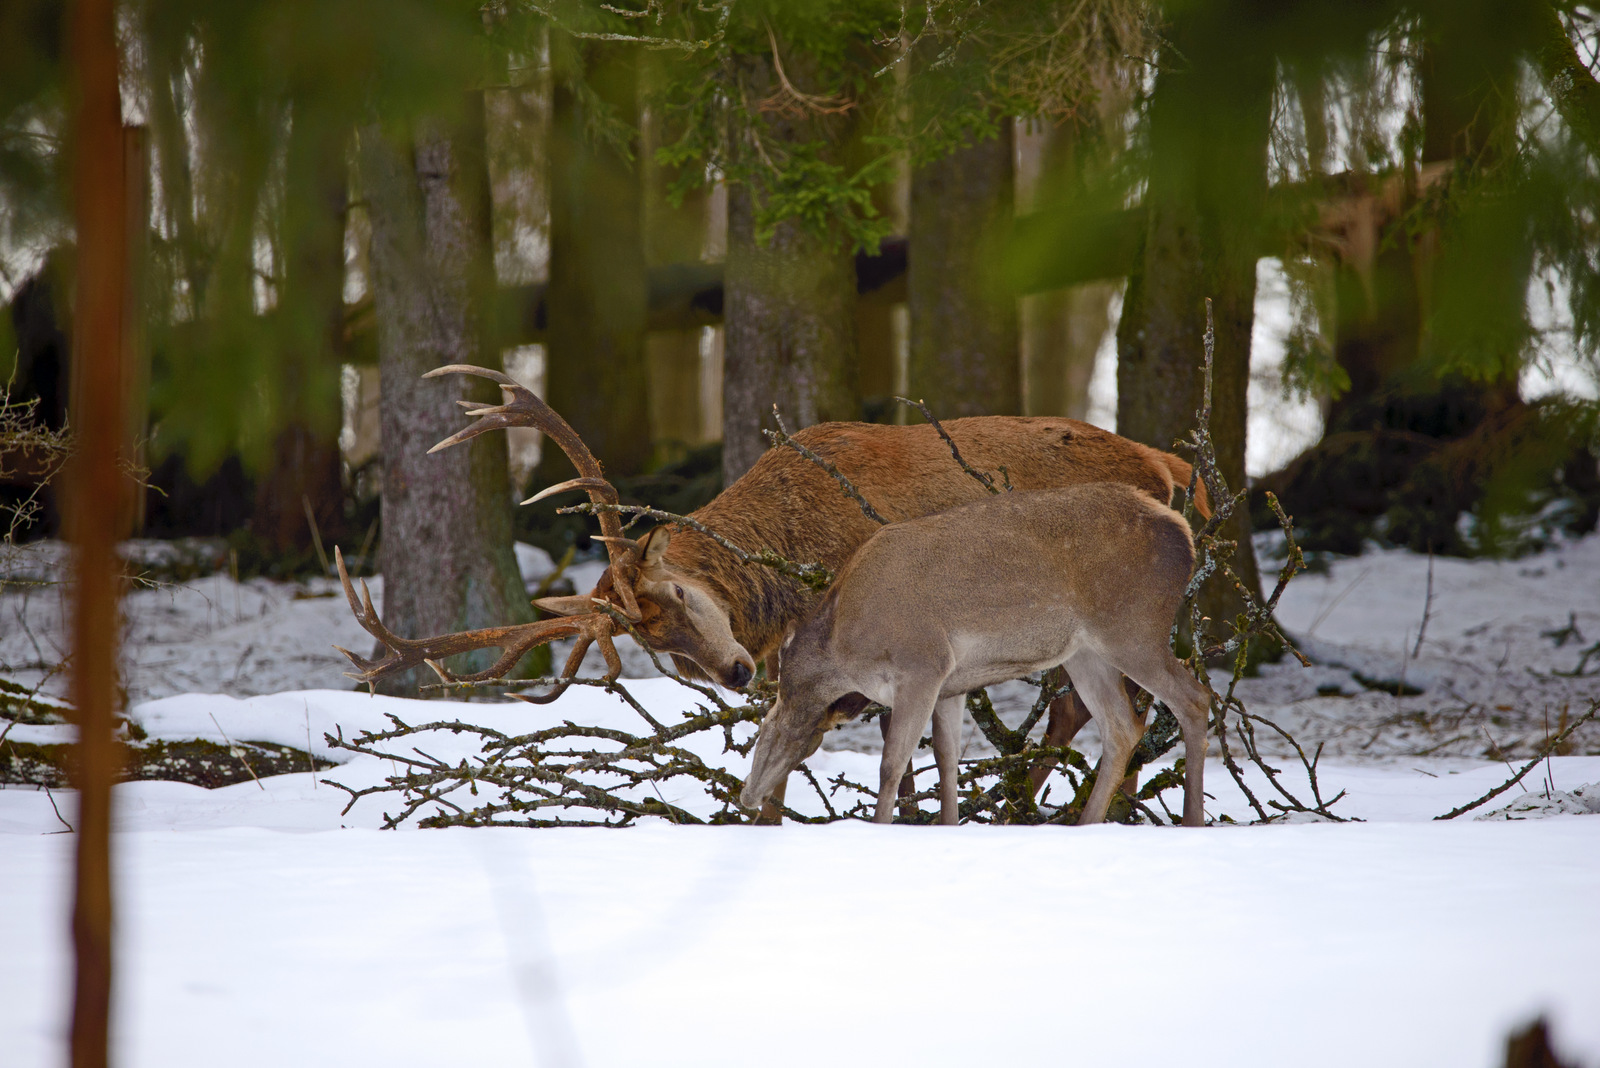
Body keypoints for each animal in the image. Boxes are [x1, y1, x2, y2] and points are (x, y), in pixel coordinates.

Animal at [742, 482, 1203, 824]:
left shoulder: (922, 662)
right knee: (1121, 726)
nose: (748, 796)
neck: (846, 646)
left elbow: (892, 765)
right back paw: (1087, 823)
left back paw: (1192, 822)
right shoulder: (950, 684)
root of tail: (1186, 535)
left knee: (1194, 700)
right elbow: (947, 761)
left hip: (1134, 628)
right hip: (1085, 651)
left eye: (763, 728)